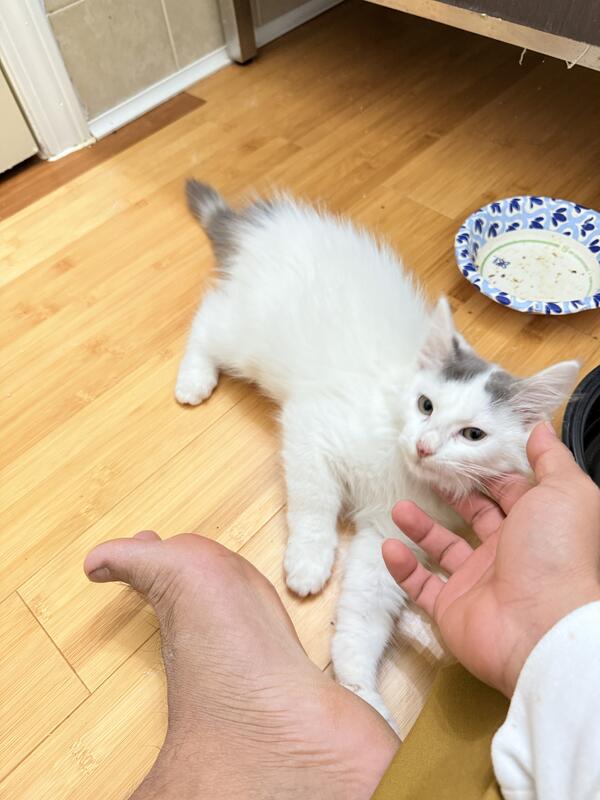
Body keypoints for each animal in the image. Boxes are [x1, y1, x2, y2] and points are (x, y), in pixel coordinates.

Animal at [175, 180, 579, 729]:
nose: (423, 445)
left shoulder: (393, 535)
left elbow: (365, 610)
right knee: (208, 317)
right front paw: (309, 560)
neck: (399, 472)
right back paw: (193, 379)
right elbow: (315, 504)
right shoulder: (312, 429)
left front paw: (360, 688)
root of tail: (267, 223)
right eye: (425, 405)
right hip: (250, 336)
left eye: (472, 434)